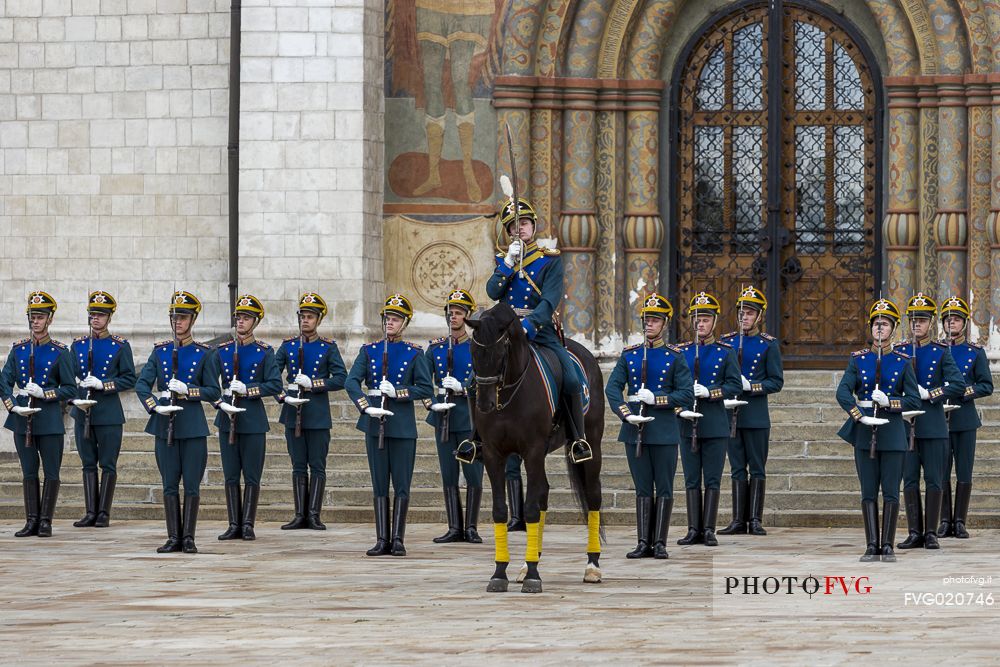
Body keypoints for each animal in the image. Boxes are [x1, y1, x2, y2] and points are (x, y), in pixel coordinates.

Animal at [466, 304, 604, 596]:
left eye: (500, 353)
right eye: (473, 353)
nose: (484, 404)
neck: (509, 394)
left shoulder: (532, 450)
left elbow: (529, 509)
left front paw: (533, 576)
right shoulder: (494, 454)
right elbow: (500, 510)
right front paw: (501, 572)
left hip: (592, 443)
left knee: (593, 495)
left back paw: (592, 565)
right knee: (543, 493)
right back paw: (529, 561)